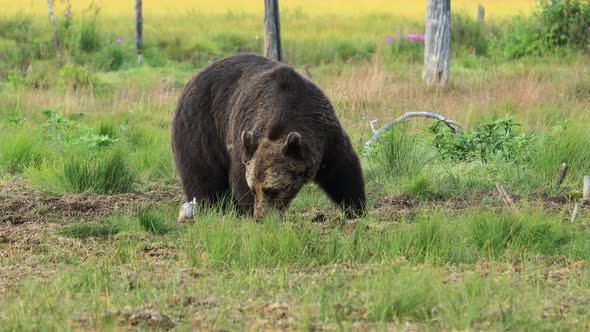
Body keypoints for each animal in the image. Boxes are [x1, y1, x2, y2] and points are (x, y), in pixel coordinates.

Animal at [170, 53, 366, 219]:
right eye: (253, 189)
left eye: (272, 189)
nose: (260, 216)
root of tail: (195, 76)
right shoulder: (245, 138)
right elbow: (239, 178)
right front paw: (248, 211)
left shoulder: (326, 136)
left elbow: (342, 170)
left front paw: (356, 209)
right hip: (201, 125)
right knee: (202, 172)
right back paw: (213, 206)